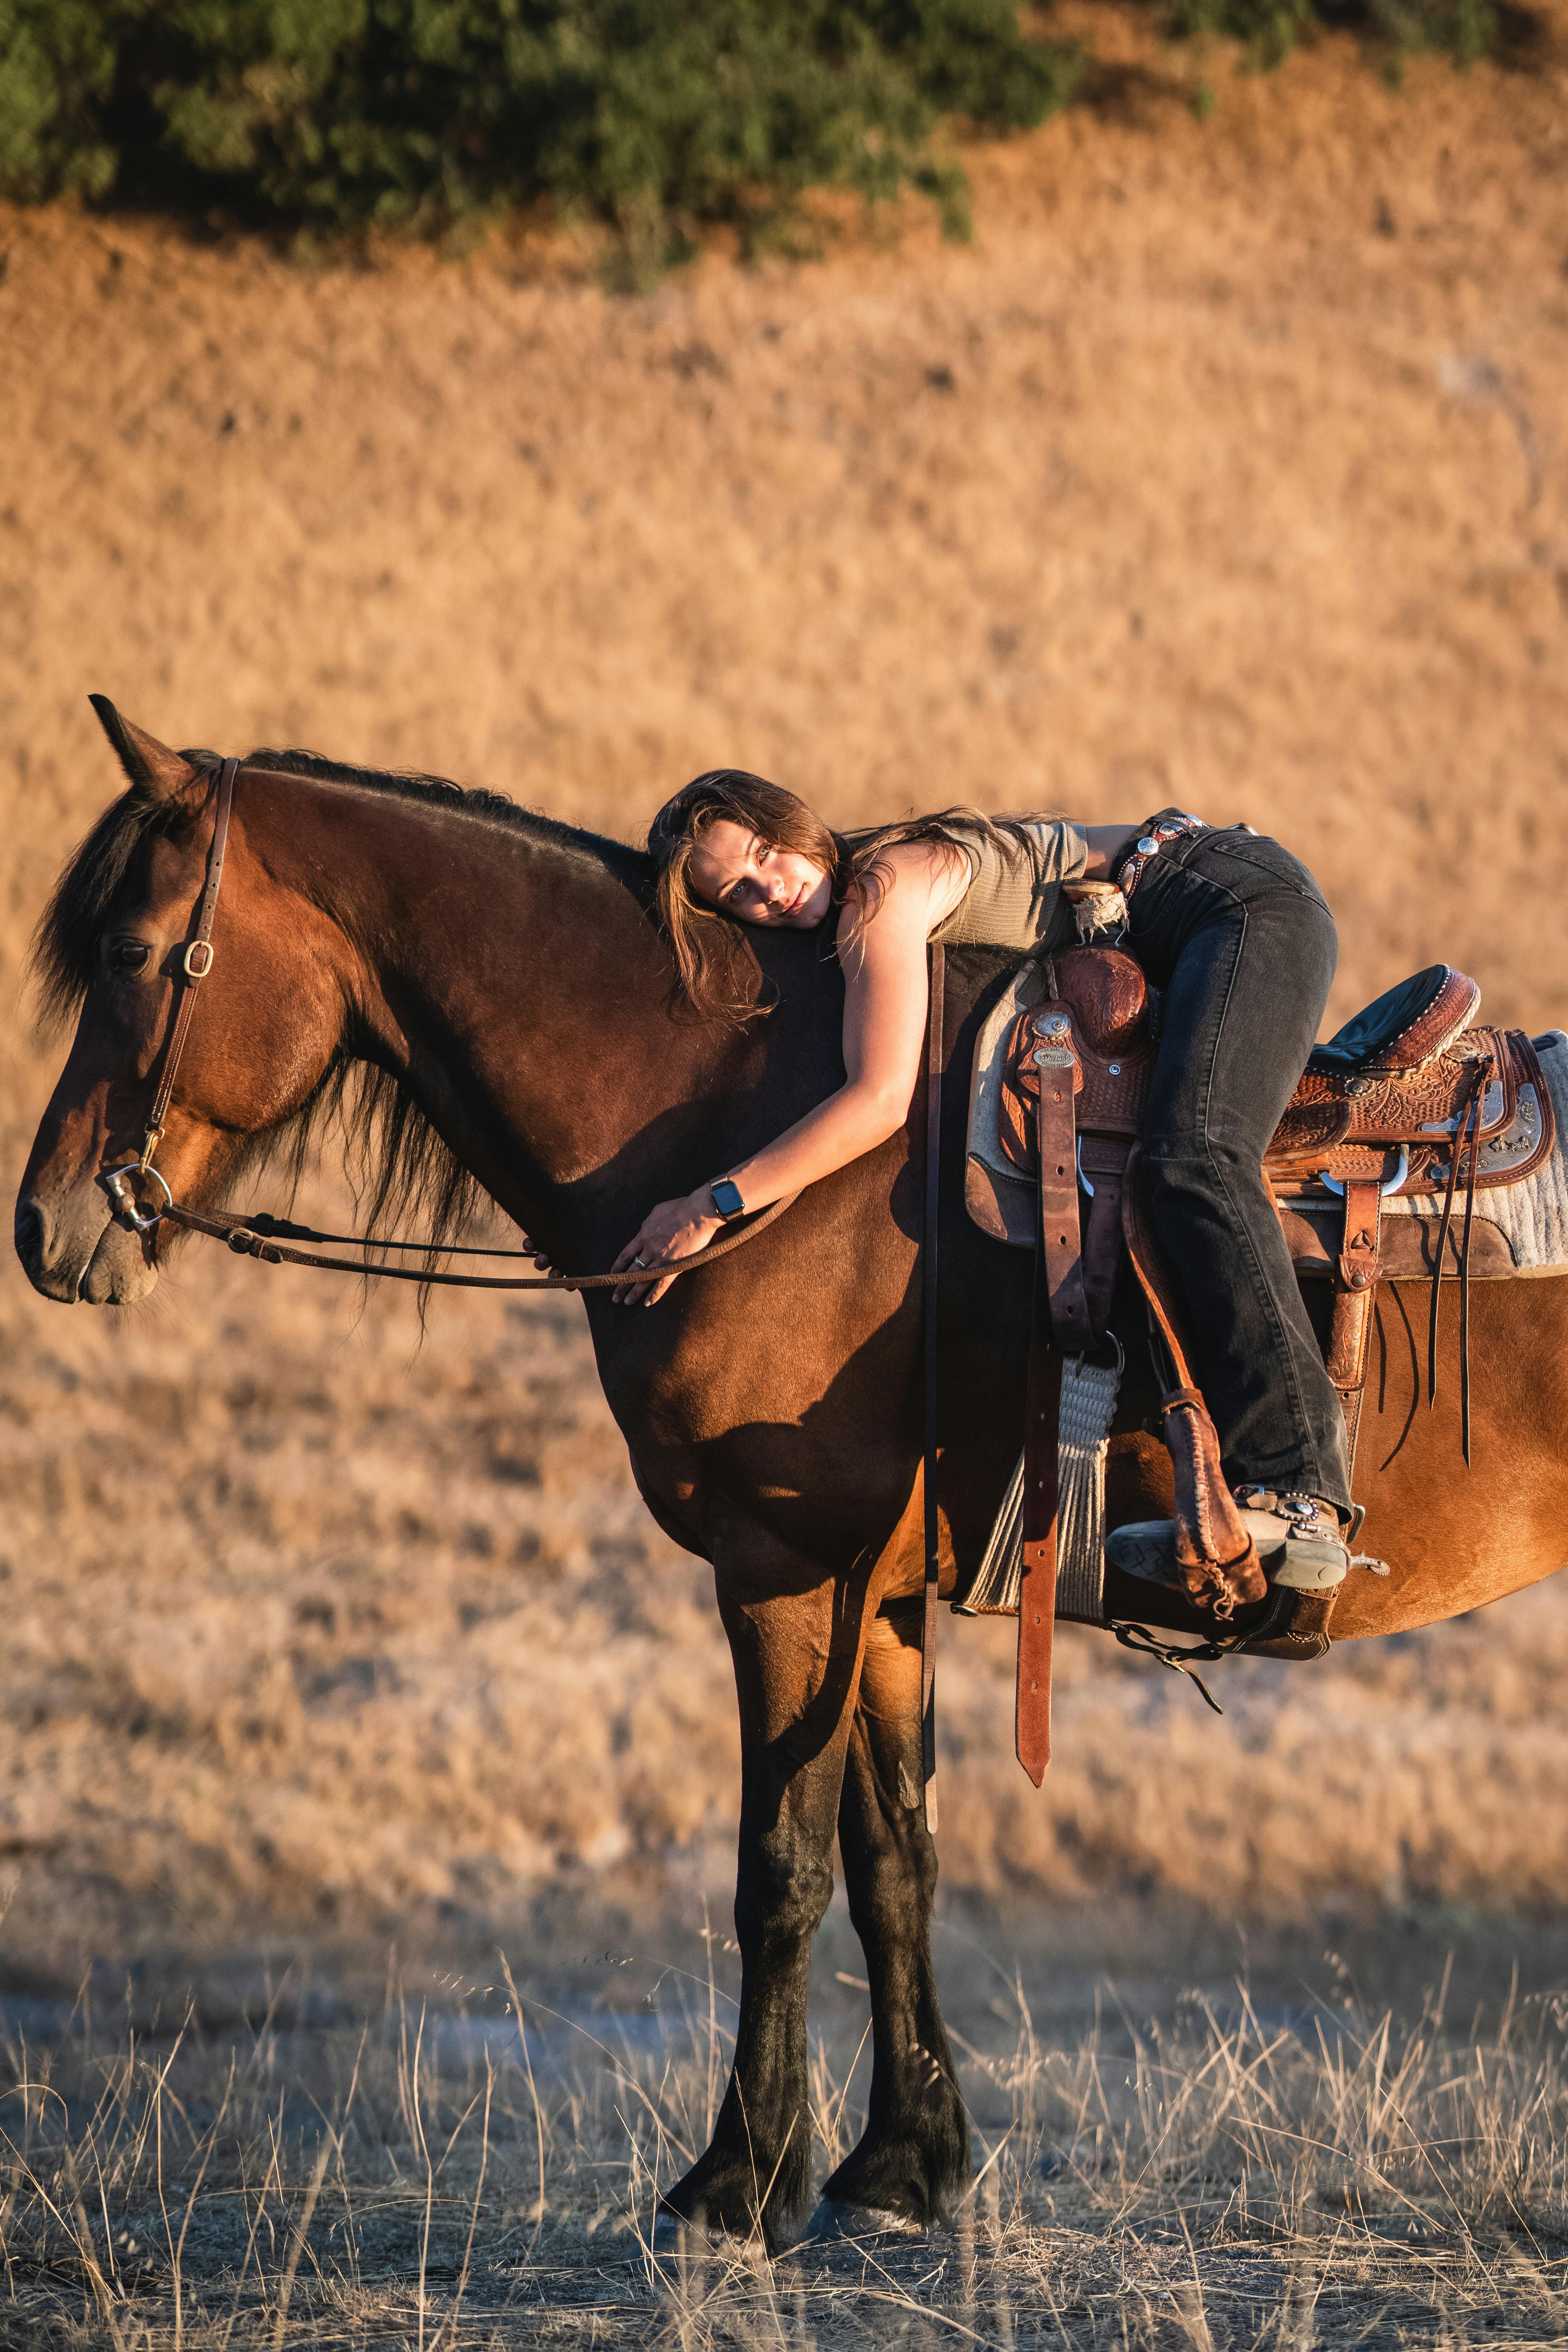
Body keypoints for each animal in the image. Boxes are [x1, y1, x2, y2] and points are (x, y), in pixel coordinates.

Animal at [12, 710, 1568, 2239]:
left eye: (133, 954)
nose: (43, 1225)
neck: (730, 1114)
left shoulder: (783, 1569)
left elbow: (781, 1869)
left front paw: (738, 2178)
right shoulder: (879, 1592)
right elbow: (894, 1860)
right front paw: (902, 2162)